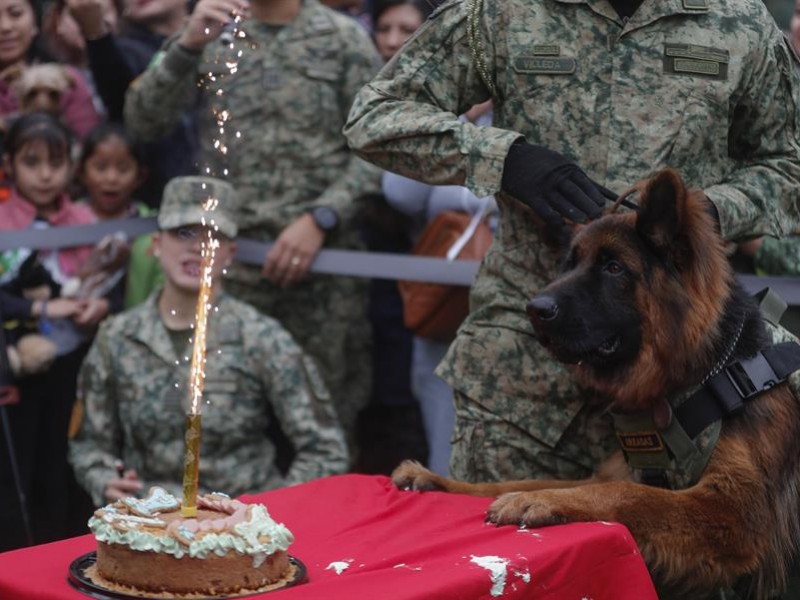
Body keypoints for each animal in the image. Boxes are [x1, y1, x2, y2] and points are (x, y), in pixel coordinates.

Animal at [394, 170, 800, 600]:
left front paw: (536, 500)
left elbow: (629, 494)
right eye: (570, 264)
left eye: (614, 268)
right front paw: (441, 481)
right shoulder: (612, 473)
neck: (703, 371)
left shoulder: (735, 514)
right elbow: (519, 480)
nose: (534, 310)